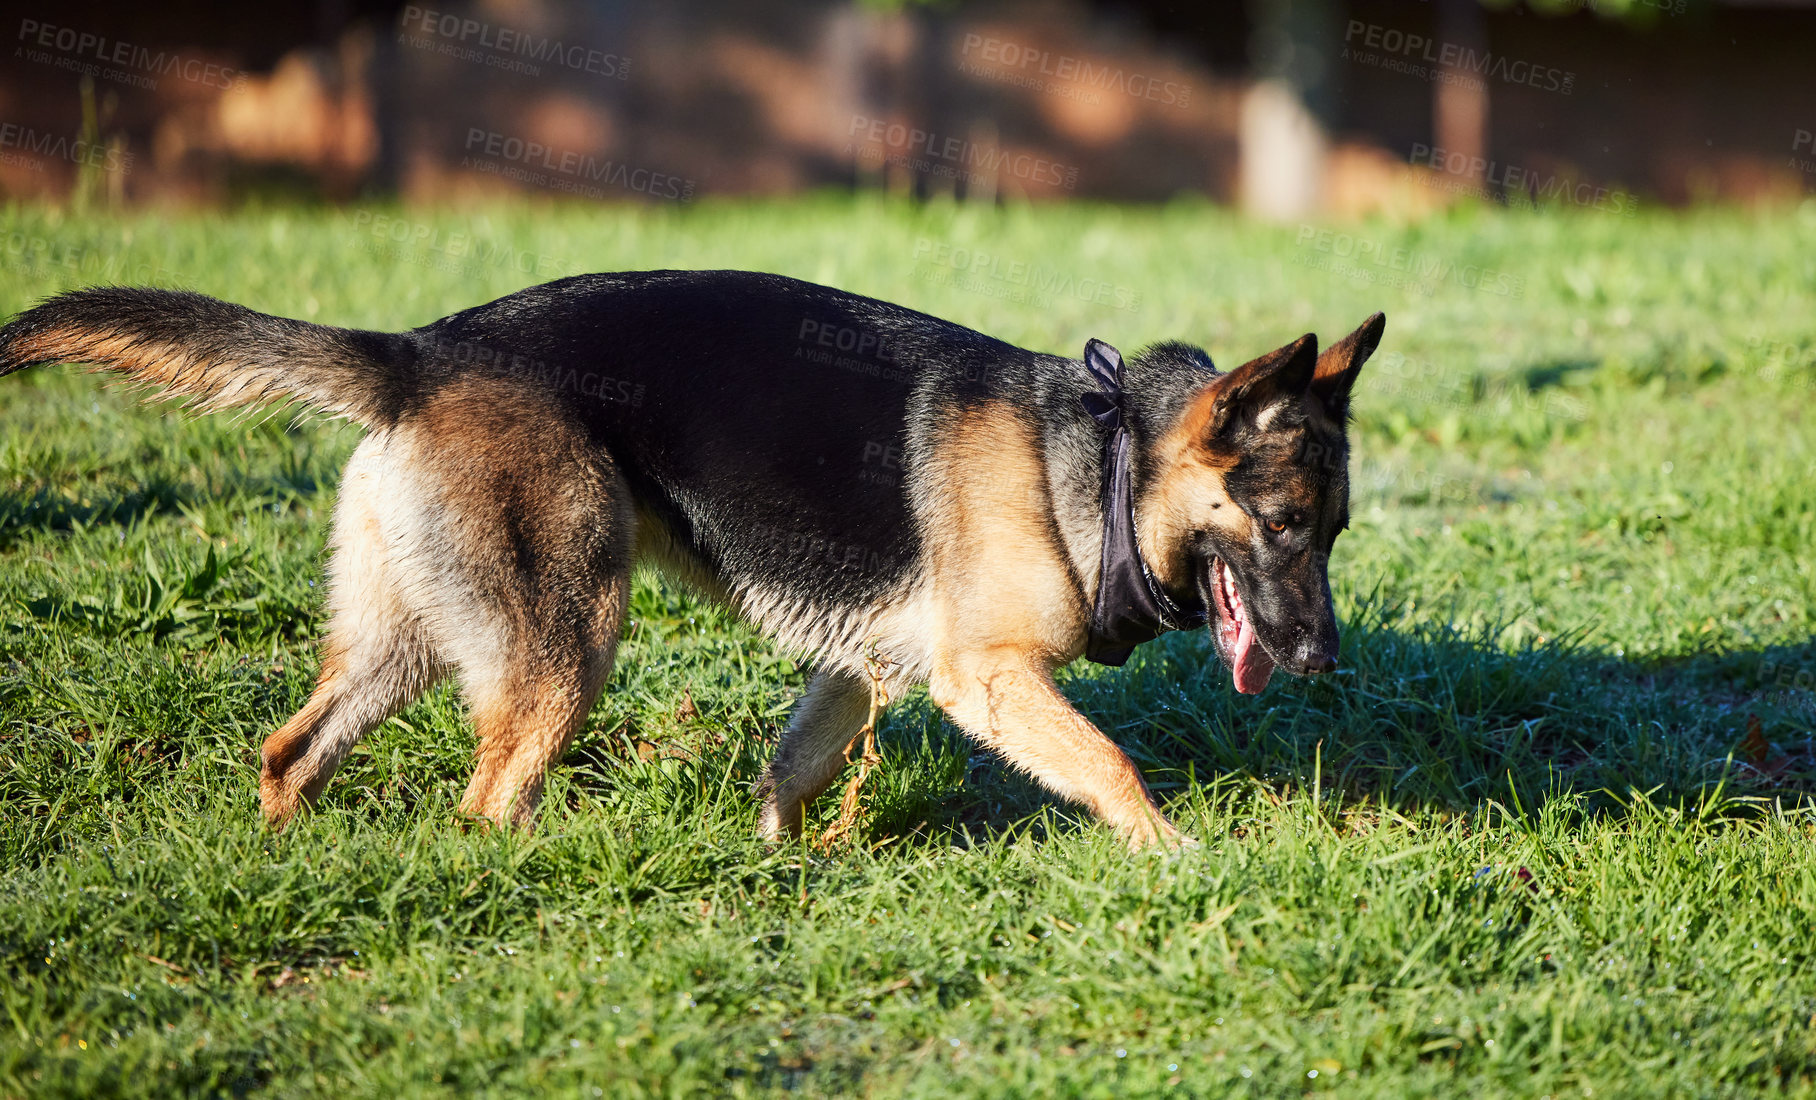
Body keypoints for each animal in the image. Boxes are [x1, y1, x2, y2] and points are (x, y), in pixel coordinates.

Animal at [0, 277, 1380, 853]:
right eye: (1281, 525)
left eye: (1332, 531)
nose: (1323, 660)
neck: (1097, 459)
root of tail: (419, 353)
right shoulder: (983, 678)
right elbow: (1109, 762)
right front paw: (1173, 855)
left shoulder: (857, 668)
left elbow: (792, 766)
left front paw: (776, 864)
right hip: (567, 633)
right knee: (487, 798)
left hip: (407, 636)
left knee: (293, 750)